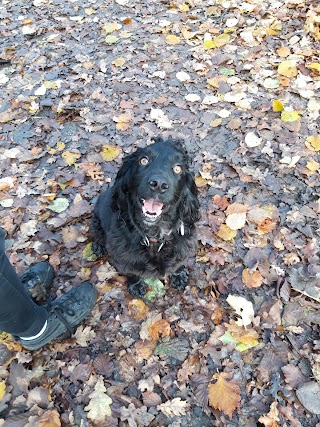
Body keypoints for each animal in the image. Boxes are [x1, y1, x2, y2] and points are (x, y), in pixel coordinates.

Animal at [90, 137, 200, 298]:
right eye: (143, 160)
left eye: (178, 169)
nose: (158, 184)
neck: (155, 234)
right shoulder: (122, 257)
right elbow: (131, 273)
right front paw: (136, 285)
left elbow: (178, 264)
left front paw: (179, 275)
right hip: (96, 219)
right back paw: (98, 246)